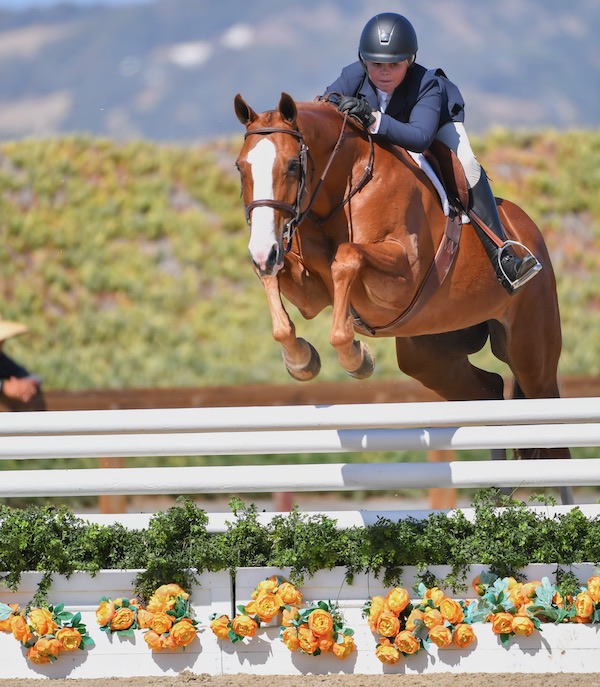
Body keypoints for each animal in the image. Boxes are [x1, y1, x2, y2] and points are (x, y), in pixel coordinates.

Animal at [234, 92, 572, 506]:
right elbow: (277, 282)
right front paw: (302, 360)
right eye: (240, 168)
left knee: (553, 435)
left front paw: (355, 358)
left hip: (530, 351)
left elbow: (347, 258)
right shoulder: (309, 291)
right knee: (491, 393)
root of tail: (530, 233)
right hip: (428, 356)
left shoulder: (402, 274)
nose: (261, 249)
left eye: (294, 165)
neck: (342, 186)